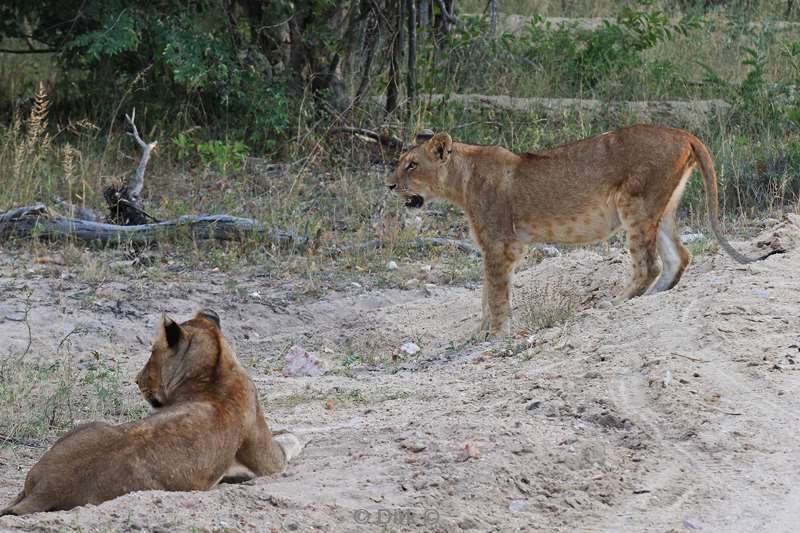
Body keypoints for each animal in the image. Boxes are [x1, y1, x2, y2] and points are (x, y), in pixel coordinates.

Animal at [1, 308, 302, 516]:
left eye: (152, 352)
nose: (136, 379)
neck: (212, 373)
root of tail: (46, 490)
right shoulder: (270, 463)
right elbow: (289, 440)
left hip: (87, 427)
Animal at [388, 125, 776, 336]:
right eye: (400, 163)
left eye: (412, 165)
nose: (389, 185)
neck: (461, 180)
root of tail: (682, 133)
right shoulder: (493, 247)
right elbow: (484, 295)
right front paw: (479, 333)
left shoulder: (501, 245)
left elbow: (495, 295)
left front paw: (495, 334)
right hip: (662, 208)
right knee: (678, 257)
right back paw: (648, 300)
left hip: (634, 204)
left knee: (648, 265)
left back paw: (611, 305)